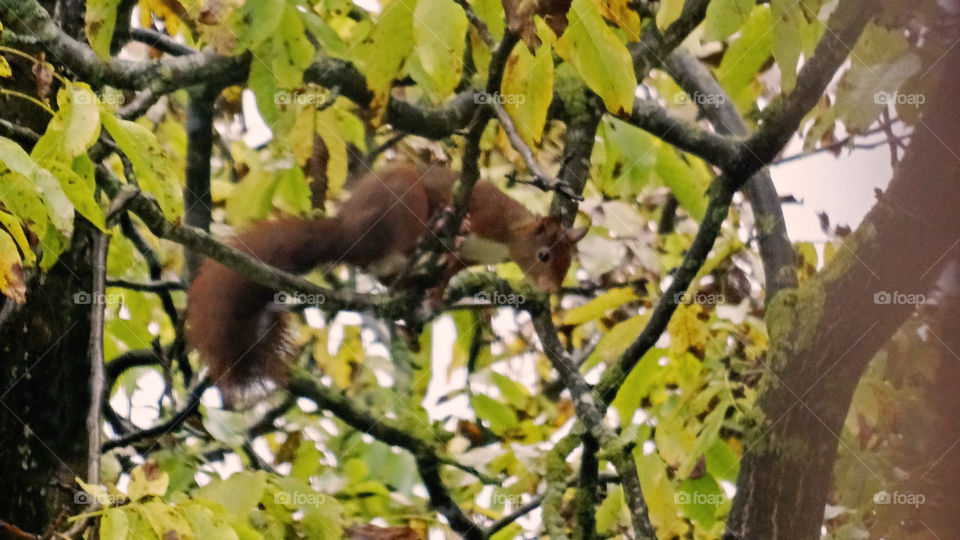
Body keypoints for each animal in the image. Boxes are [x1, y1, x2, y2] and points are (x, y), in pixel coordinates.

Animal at [185, 163, 586, 393]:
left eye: (568, 263)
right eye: (544, 255)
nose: (553, 290)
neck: (504, 236)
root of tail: (345, 232)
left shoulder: (464, 261)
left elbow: (446, 275)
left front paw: (435, 297)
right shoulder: (480, 208)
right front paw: (454, 235)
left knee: (394, 279)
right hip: (403, 205)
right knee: (409, 242)